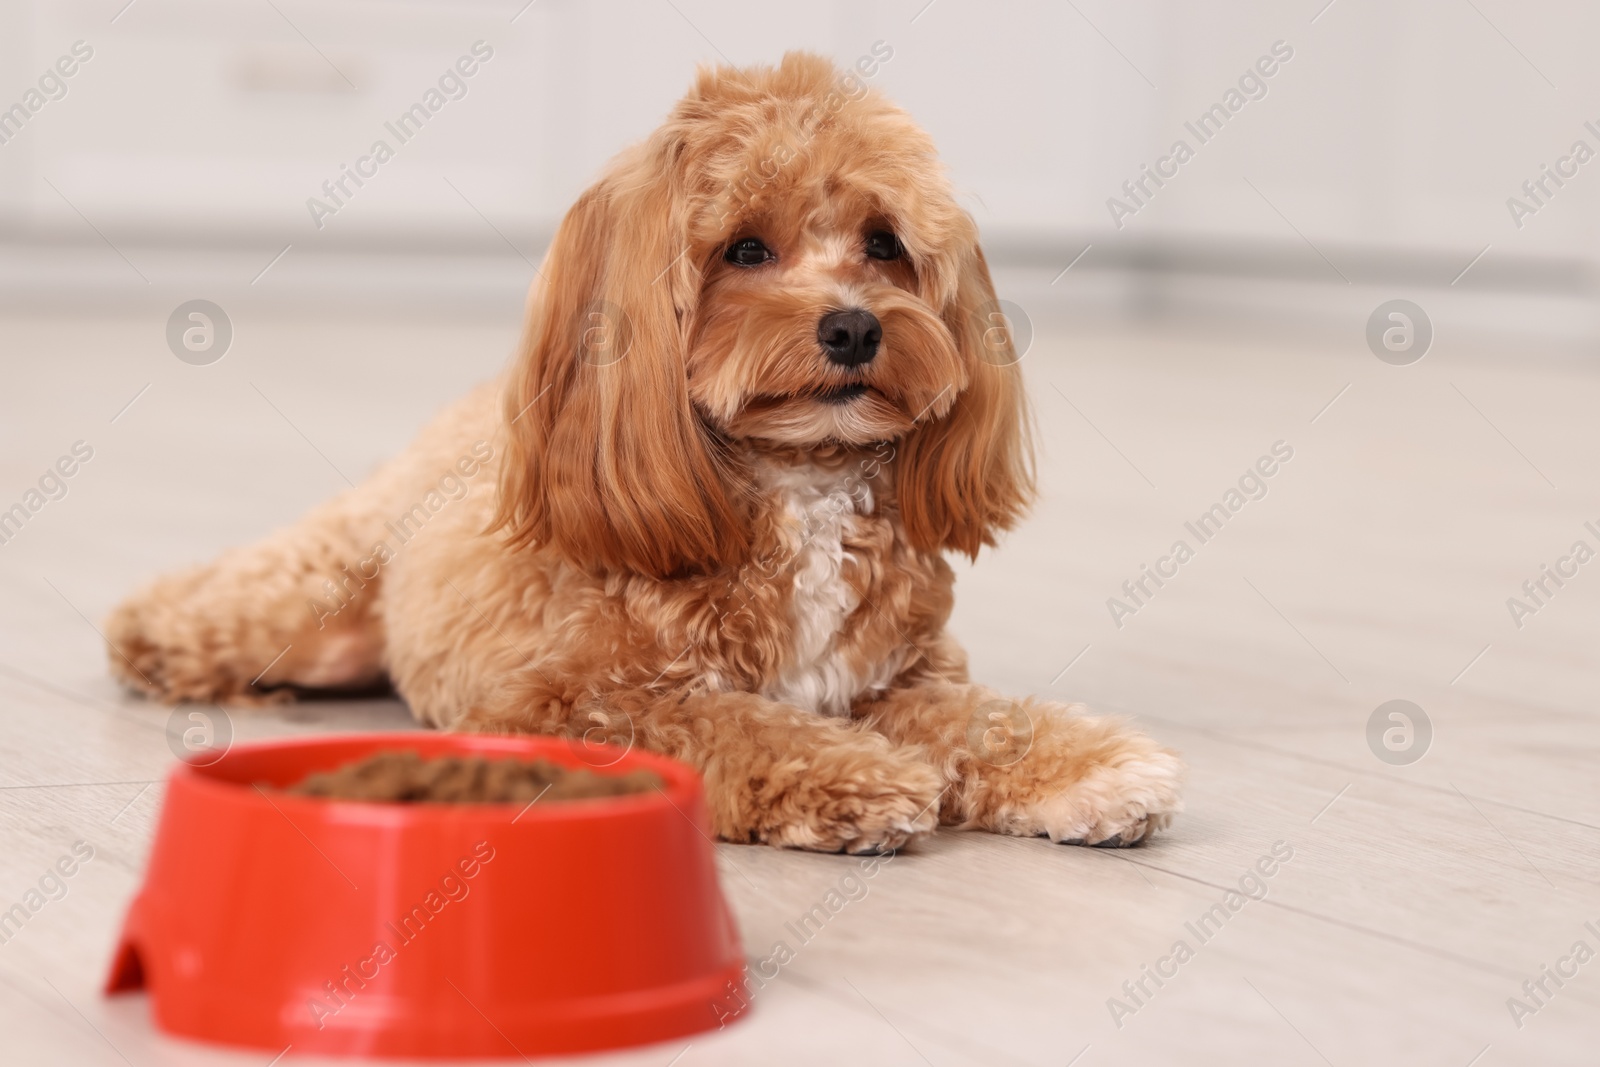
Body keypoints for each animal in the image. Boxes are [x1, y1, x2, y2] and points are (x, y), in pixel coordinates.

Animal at [106, 49, 1184, 857]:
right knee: (209, 601)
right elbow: (721, 720)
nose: (853, 327)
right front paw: (854, 774)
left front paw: (1089, 763)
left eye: (883, 242)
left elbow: (984, 719)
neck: (799, 481)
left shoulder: (900, 681)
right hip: (318, 591)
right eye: (744, 249)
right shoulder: (565, 702)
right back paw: (160, 642)